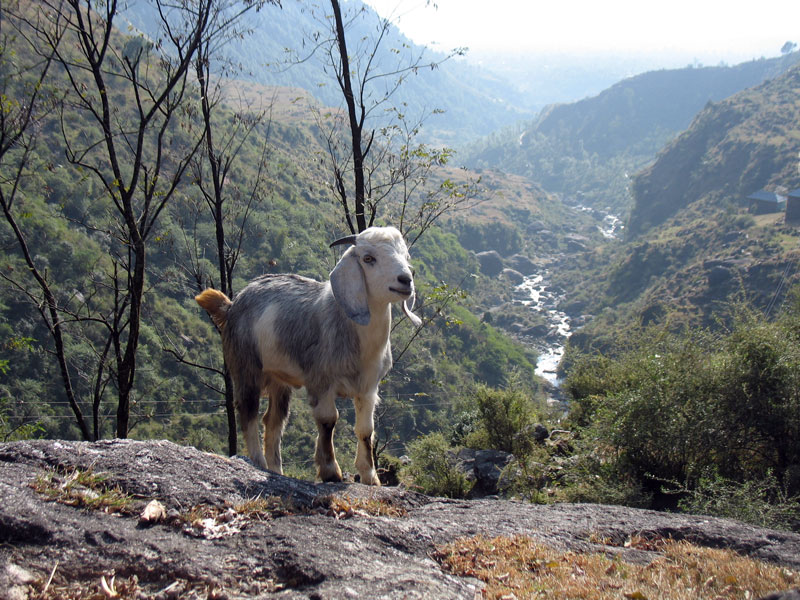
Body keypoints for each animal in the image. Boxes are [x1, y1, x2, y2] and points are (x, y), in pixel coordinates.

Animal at [195, 226, 421, 486]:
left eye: (406, 255)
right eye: (368, 258)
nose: (405, 280)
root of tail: (232, 306)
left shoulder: (368, 387)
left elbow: (365, 430)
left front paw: (370, 477)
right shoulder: (320, 381)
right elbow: (328, 420)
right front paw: (330, 471)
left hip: (279, 381)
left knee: (273, 421)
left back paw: (276, 471)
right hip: (245, 368)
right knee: (248, 413)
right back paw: (258, 464)